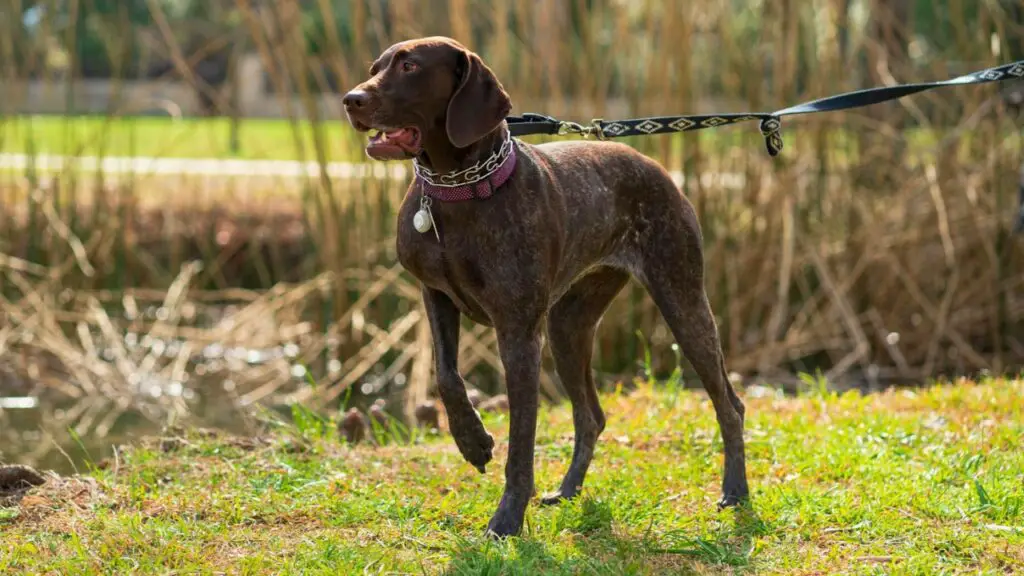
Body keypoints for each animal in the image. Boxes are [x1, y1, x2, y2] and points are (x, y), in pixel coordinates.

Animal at [339, 35, 749, 537]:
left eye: (411, 66)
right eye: (375, 68)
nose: (351, 100)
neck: (457, 188)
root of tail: (652, 164)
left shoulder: (518, 334)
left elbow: (521, 442)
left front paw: (507, 519)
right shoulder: (436, 296)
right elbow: (447, 376)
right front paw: (473, 442)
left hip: (682, 300)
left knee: (729, 405)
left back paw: (735, 492)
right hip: (567, 327)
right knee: (591, 416)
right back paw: (568, 490)